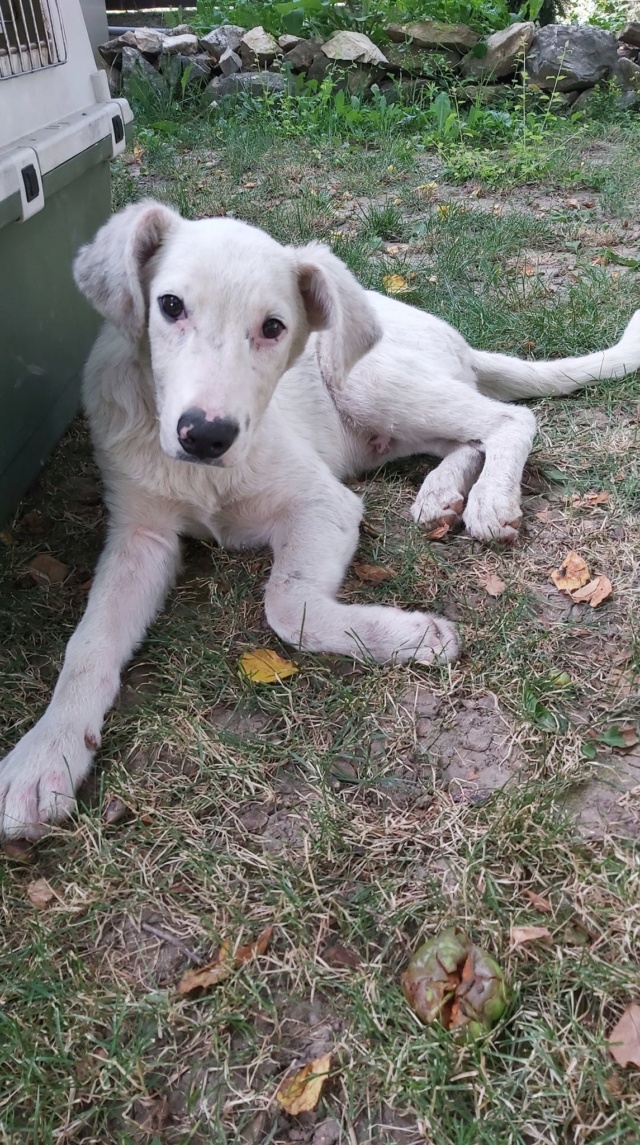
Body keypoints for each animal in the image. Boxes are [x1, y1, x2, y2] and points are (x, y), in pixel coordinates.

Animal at [1, 201, 640, 838]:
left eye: (274, 327)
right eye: (171, 306)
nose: (205, 435)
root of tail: (452, 335)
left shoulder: (323, 503)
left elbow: (287, 606)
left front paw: (411, 636)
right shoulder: (140, 535)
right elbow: (88, 644)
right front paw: (44, 755)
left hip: (367, 382)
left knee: (507, 418)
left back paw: (490, 499)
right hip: (381, 425)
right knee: (467, 437)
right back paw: (441, 494)